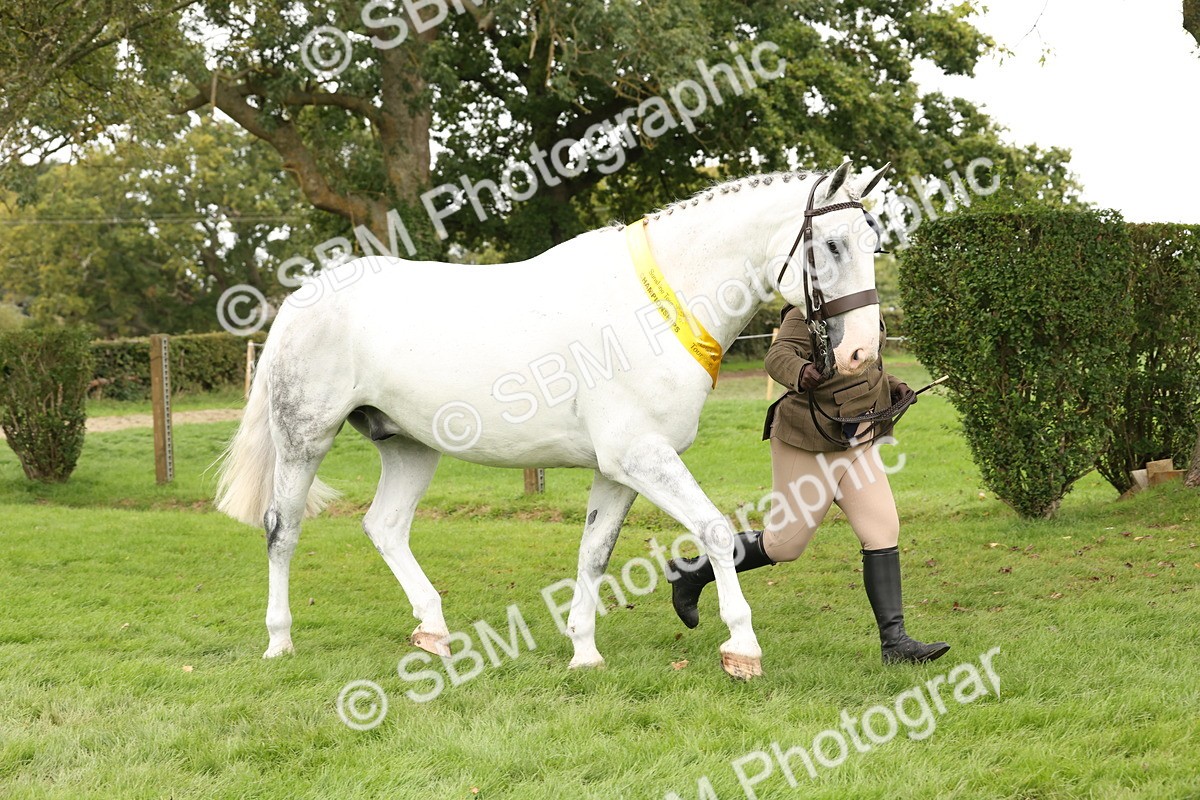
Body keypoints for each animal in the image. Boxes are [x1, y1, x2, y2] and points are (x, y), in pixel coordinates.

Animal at [215, 160, 890, 679]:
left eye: (874, 243)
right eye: (832, 245)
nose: (860, 353)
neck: (655, 308)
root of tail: (299, 301)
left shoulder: (619, 470)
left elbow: (593, 554)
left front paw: (584, 651)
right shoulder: (641, 457)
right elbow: (716, 532)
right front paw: (742, 647)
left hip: (410, 446)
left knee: (385, 526)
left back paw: (433, 631)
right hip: (305, 438)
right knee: (282, 529)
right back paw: (280, 640)